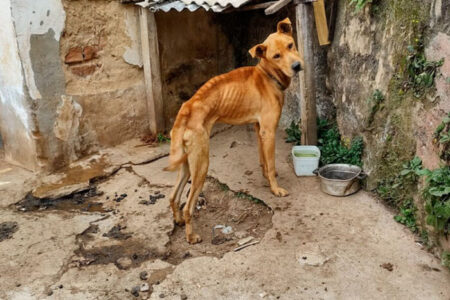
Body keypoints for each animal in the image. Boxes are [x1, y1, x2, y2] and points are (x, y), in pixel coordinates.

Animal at [164, 17, 302, 244]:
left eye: (291, 45)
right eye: (276, 56)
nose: (297, 66)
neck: (267, 75)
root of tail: (187, 107)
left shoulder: (259, 129)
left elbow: (264, 161)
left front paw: (266, 177)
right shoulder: (269, 131)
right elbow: (271, 163)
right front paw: (275, 189)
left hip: (187, 164)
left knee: (173, 196)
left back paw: (178, 221)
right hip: (201, 165)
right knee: (188, 206)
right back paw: (191, 236)